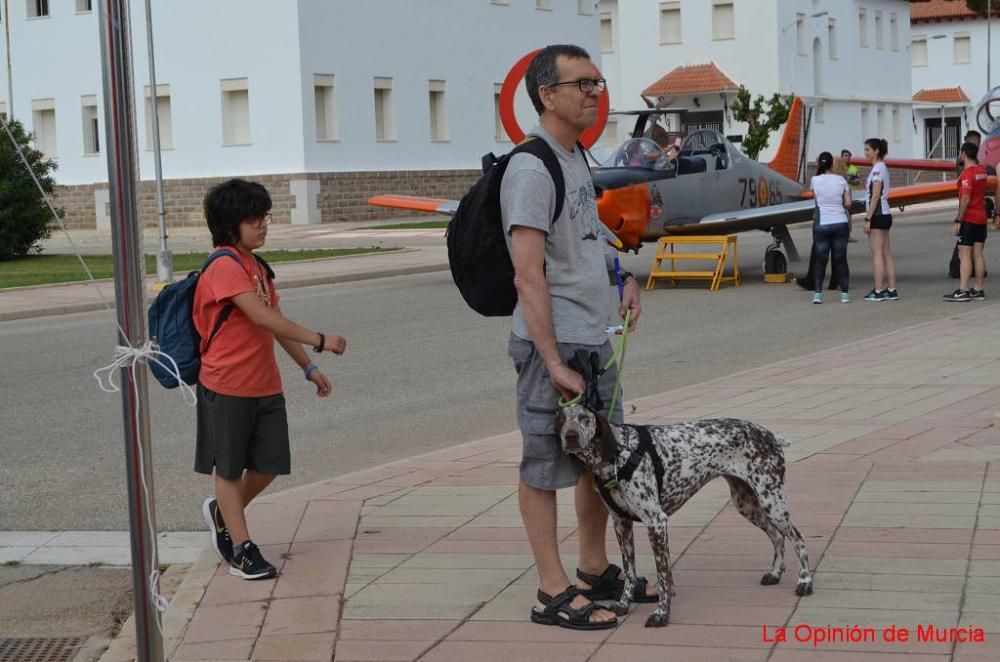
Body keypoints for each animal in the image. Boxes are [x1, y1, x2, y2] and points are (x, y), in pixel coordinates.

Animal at [552, 404, 816, 628]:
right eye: (562, 418)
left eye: (584, 418)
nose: (571, 436)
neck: (619, 454)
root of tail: (769, 435)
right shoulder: (621, 523)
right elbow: (629, 572)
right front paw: (624, 604)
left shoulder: (656, 522)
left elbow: (663, 575)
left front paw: (661, 614)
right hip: (747, 503)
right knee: (777, 536)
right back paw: (775, 573)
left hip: (772, 501)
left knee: (798, 538)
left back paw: (804, 582)